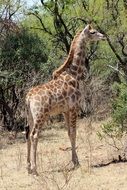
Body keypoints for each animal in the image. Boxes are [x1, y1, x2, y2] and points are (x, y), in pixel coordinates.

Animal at [25, 24, 105, 175]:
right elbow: (74, 133)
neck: (74, 74)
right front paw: (77, 163)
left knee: (27, 134)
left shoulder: (65, 111)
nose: (103, 36)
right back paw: (35, 168)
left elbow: (68, 133)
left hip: (30, 116)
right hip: (41, 114)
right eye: (93, 32)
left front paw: (75, 161)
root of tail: (28, 98)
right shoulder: (74, 108)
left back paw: (27, 167)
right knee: (34, 135)